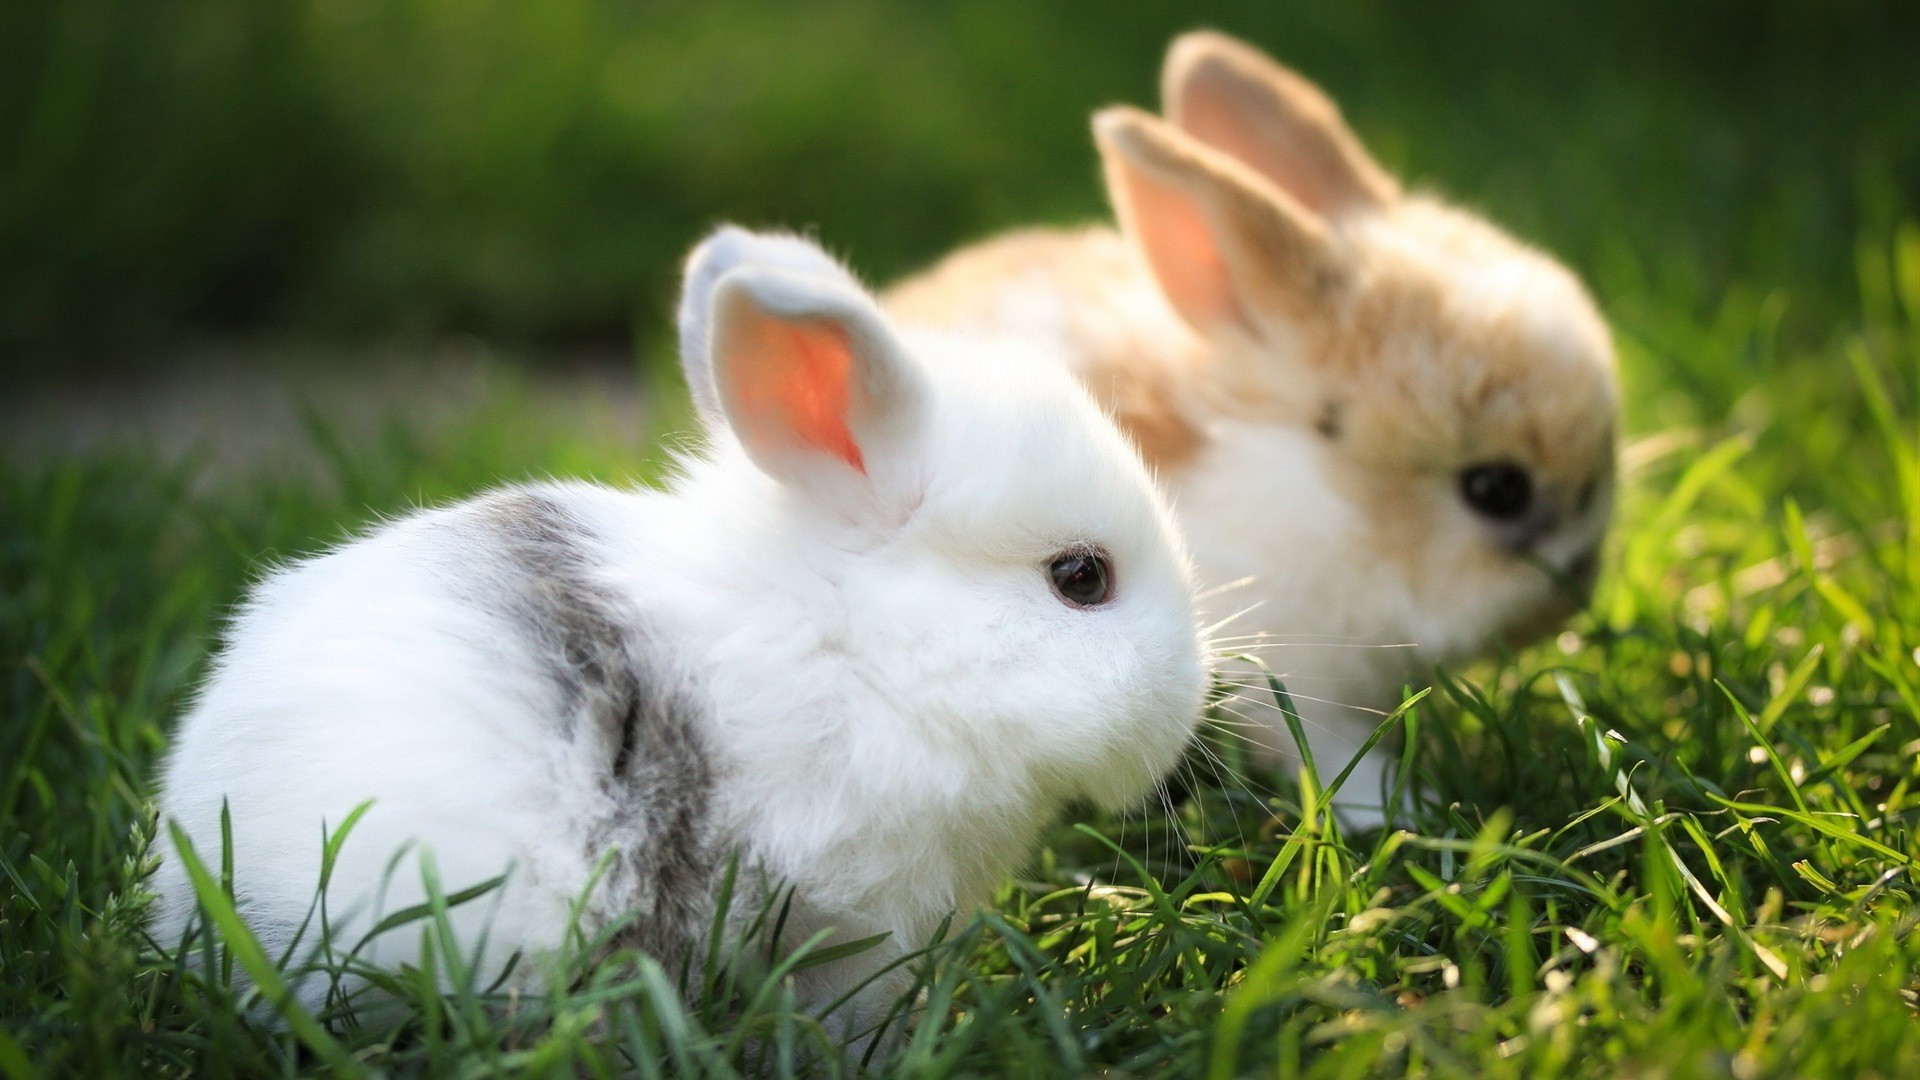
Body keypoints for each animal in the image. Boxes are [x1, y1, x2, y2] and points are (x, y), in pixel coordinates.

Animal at [887, 33, 1620, 822]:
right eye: (1495, 489)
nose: (1575, 591)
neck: (1330, 503)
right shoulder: (1288, 680)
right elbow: (1329, 753)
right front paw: (1403, 810)